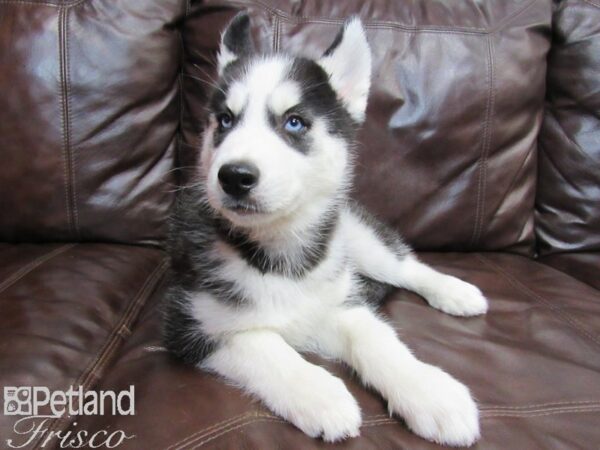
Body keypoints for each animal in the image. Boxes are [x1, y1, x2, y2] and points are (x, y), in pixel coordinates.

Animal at [165, 13, 488, 446]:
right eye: (226, 121)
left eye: (295, 122)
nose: (233, 176)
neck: (280, 252)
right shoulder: (189, 321)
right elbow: (263, 343)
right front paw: (320, 394)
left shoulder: (340, 300)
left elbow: (374, 336)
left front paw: (428, 390)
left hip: (357, 235)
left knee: (404, 265)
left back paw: (455, 292)